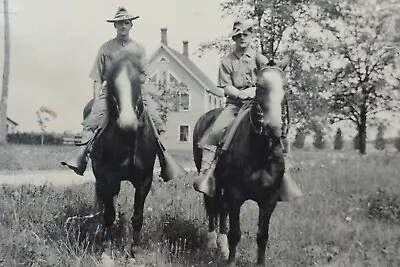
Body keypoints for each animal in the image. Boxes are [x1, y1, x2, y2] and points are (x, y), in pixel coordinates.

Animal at [90, 51, 159, 258]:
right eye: (112, 83)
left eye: (138, 82)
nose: (128, 123)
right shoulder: (107, 177)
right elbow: (108, 214)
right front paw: (106, 248)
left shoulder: (144, 180)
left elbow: (138, 216)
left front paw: (134, 251)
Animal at [192, 67, 286, 267]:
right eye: (259, 86)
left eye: (285, 86)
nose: (274, 128)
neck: (260, 154)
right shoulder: (235, 195)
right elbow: (235, 234)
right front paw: (231, 261)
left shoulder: (269, 200)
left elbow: (262, 236)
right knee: (212, 205)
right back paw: (212, 242)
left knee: (221, 209)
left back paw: (222, 245)